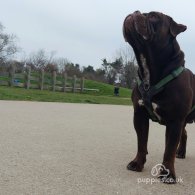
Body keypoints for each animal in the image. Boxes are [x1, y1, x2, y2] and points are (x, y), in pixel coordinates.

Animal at [122, 11, 194, 184]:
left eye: (154, 16)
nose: (135, 12)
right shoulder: (139, 115)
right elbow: (141, 143)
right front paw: (137, 163)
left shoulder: (175, 121)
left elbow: (168, 150)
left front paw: (168, 174)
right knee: (184, 134)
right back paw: (181, 152)